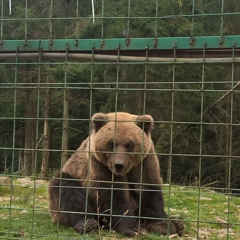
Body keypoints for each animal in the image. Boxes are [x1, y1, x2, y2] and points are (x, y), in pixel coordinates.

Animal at [47, 112, 185, 236]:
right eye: (111, 143)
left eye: (130, 144)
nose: (118, 165)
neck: (127, 170)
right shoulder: (100, 166)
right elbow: (111, 196)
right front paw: (133, 229)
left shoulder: (145, 164)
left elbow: (150, 194)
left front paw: (163, 222)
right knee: (65, 188)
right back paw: (87, 223)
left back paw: (173, 224)